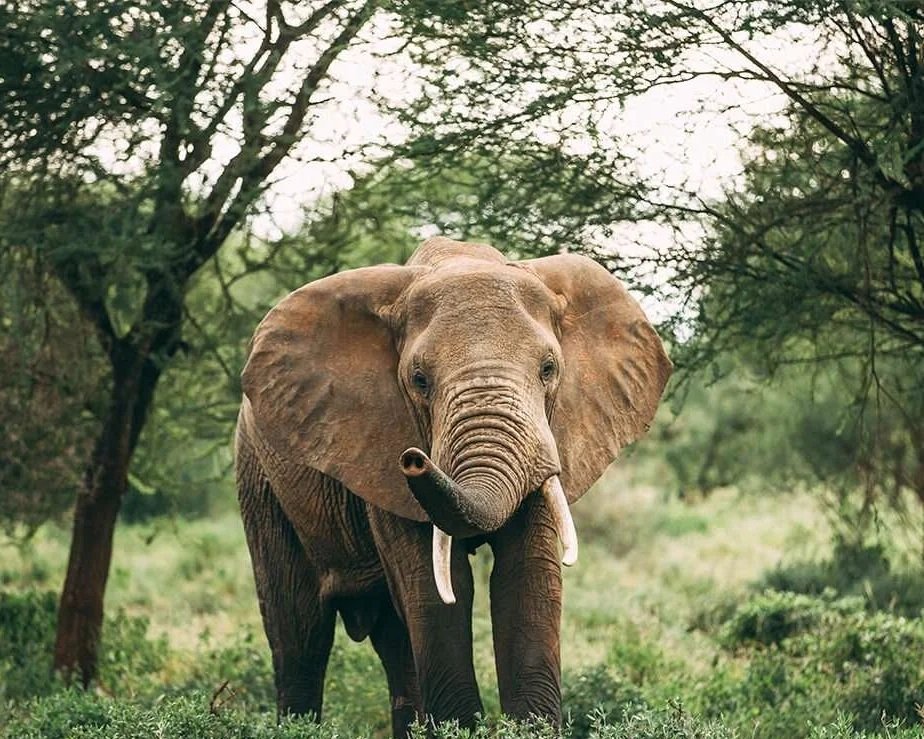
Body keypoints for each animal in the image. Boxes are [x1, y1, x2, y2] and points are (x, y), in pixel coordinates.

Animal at [234, 236, 671, 736]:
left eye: (548, 369)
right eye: (419, 380)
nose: (414, 460)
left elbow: (527, 577)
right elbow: (438, 589)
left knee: (393, 643)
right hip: (259, 480)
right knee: (299, 633)